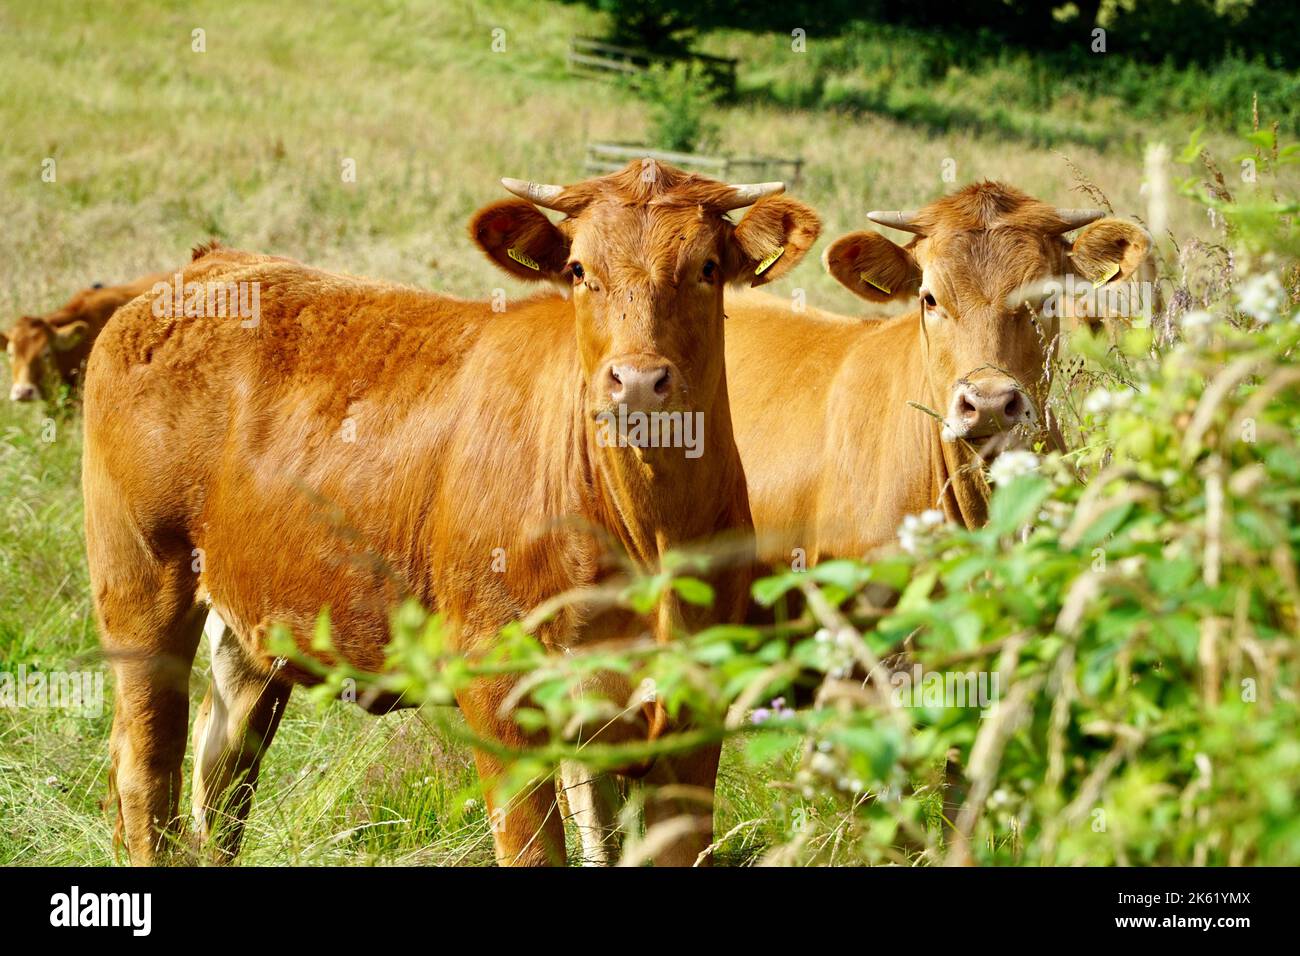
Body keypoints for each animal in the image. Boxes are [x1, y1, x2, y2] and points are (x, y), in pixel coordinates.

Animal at [81, 160, 821, 867]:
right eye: (580, 270)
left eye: (707, 267)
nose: (637, 381)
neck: (648, 537)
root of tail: (211, 265)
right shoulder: (500, 693)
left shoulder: (690, 718)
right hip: (141, 587)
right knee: (146, 770)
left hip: (252, 625)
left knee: (223, 777)